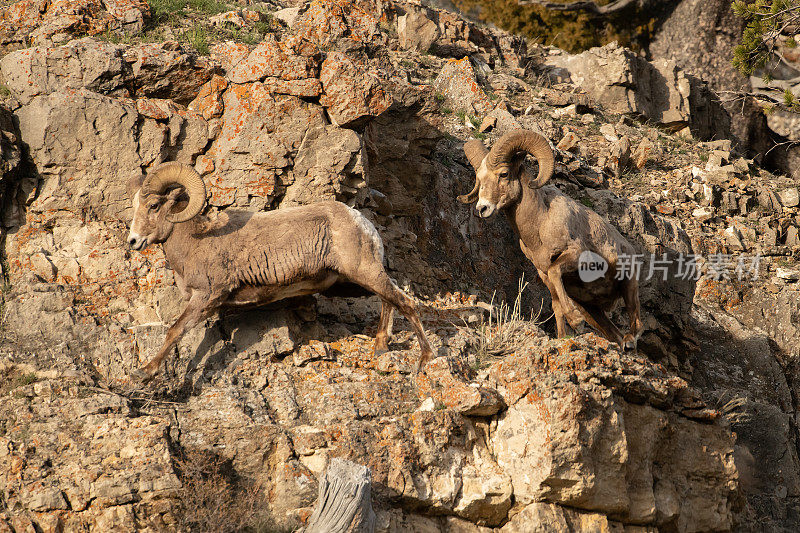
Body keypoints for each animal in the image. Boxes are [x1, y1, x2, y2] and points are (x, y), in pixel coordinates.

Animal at [128, 161, 434, 378]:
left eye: (154, 205)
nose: (133, 241)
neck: (197, 241)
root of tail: (362, 223)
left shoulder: (206, 297)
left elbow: (175, 330)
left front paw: (144, 373)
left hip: (363, 273)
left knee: (406, 302)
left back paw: (424, 359)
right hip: (354, 281)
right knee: (389, 298)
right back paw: (381, 346)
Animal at [460, 129, 640, 350]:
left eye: (504, 174)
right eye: (479, 179)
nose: (482, 208)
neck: (540, 224)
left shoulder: (576, 256)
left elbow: (556, 272)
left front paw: (575, 321)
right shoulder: (543, 273)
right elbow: (555, 303)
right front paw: (563, 336)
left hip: (629, 283)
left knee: (635, 317)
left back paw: (630, 341)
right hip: (592, 311)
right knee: (614, 333)